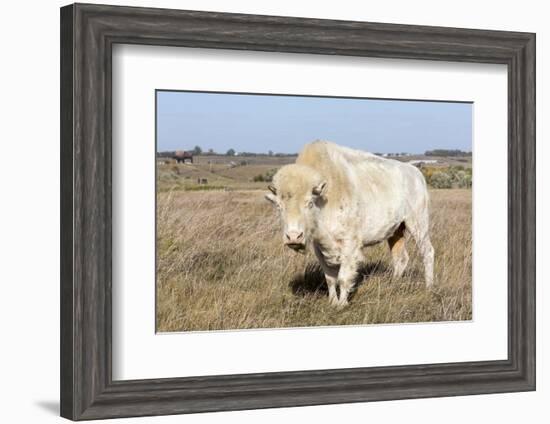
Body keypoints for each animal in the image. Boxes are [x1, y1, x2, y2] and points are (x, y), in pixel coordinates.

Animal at [266, 141, 436, 306]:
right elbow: (330, 278)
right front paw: (333, 302)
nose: (293, 237)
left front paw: (342, 304)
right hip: (396, 231)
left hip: (418, 223)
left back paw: (429, 288)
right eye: (279, 206)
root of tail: (416, 173)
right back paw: (393, 285)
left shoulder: (349, 245)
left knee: (427, 252)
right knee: (400, 258)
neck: (325, 198)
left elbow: (343, 277)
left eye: (309, 203)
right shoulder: (319, 247)